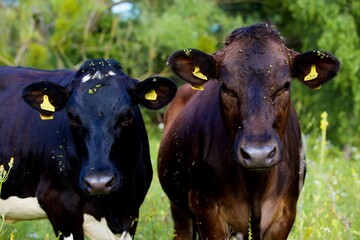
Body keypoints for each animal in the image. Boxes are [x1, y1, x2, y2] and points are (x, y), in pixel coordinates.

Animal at [0, 58, 177, 240]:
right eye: (72, 118)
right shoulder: (60, 205)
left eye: (127, 116)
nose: (98, 183)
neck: (114, 208)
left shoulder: (131, 213)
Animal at [158, 21, 340, 239]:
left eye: (285, 85)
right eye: (226, 87)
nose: (258, 154)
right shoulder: (207, 211)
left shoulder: (285, 214)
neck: (255, 187)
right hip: (179, 212)